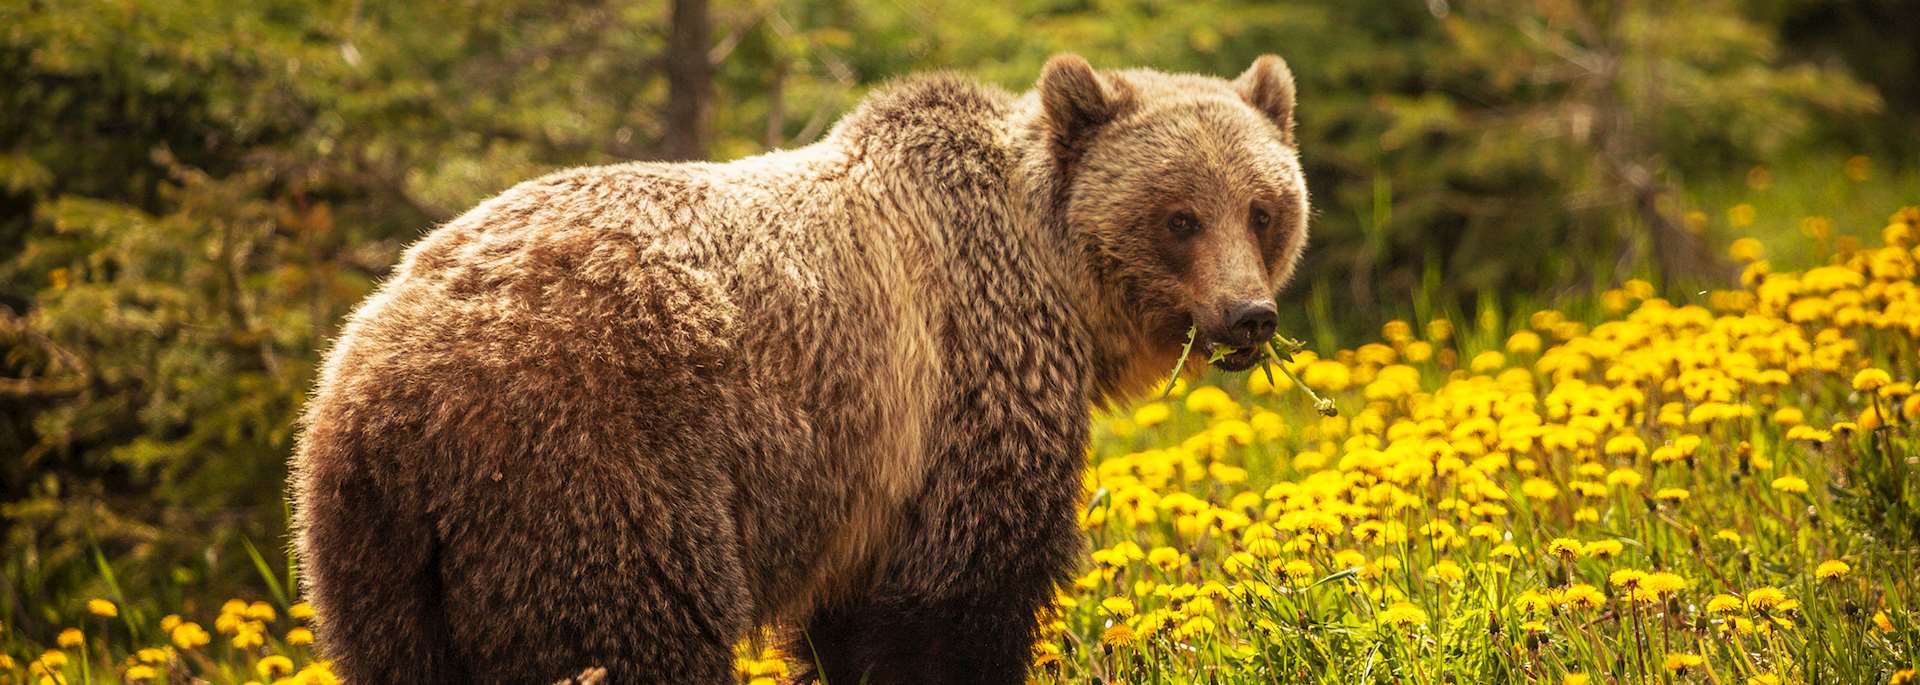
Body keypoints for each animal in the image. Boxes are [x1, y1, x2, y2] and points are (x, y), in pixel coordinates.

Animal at [291, 53, 1310, 685]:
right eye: (1180, 216)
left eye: (1262, 209)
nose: (1248, 316)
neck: (1052, 274)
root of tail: (384, 381)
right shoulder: (961, 389)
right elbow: (961, 595)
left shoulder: (874, 483)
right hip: (592, 462)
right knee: (629, 633)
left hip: (374, 555)